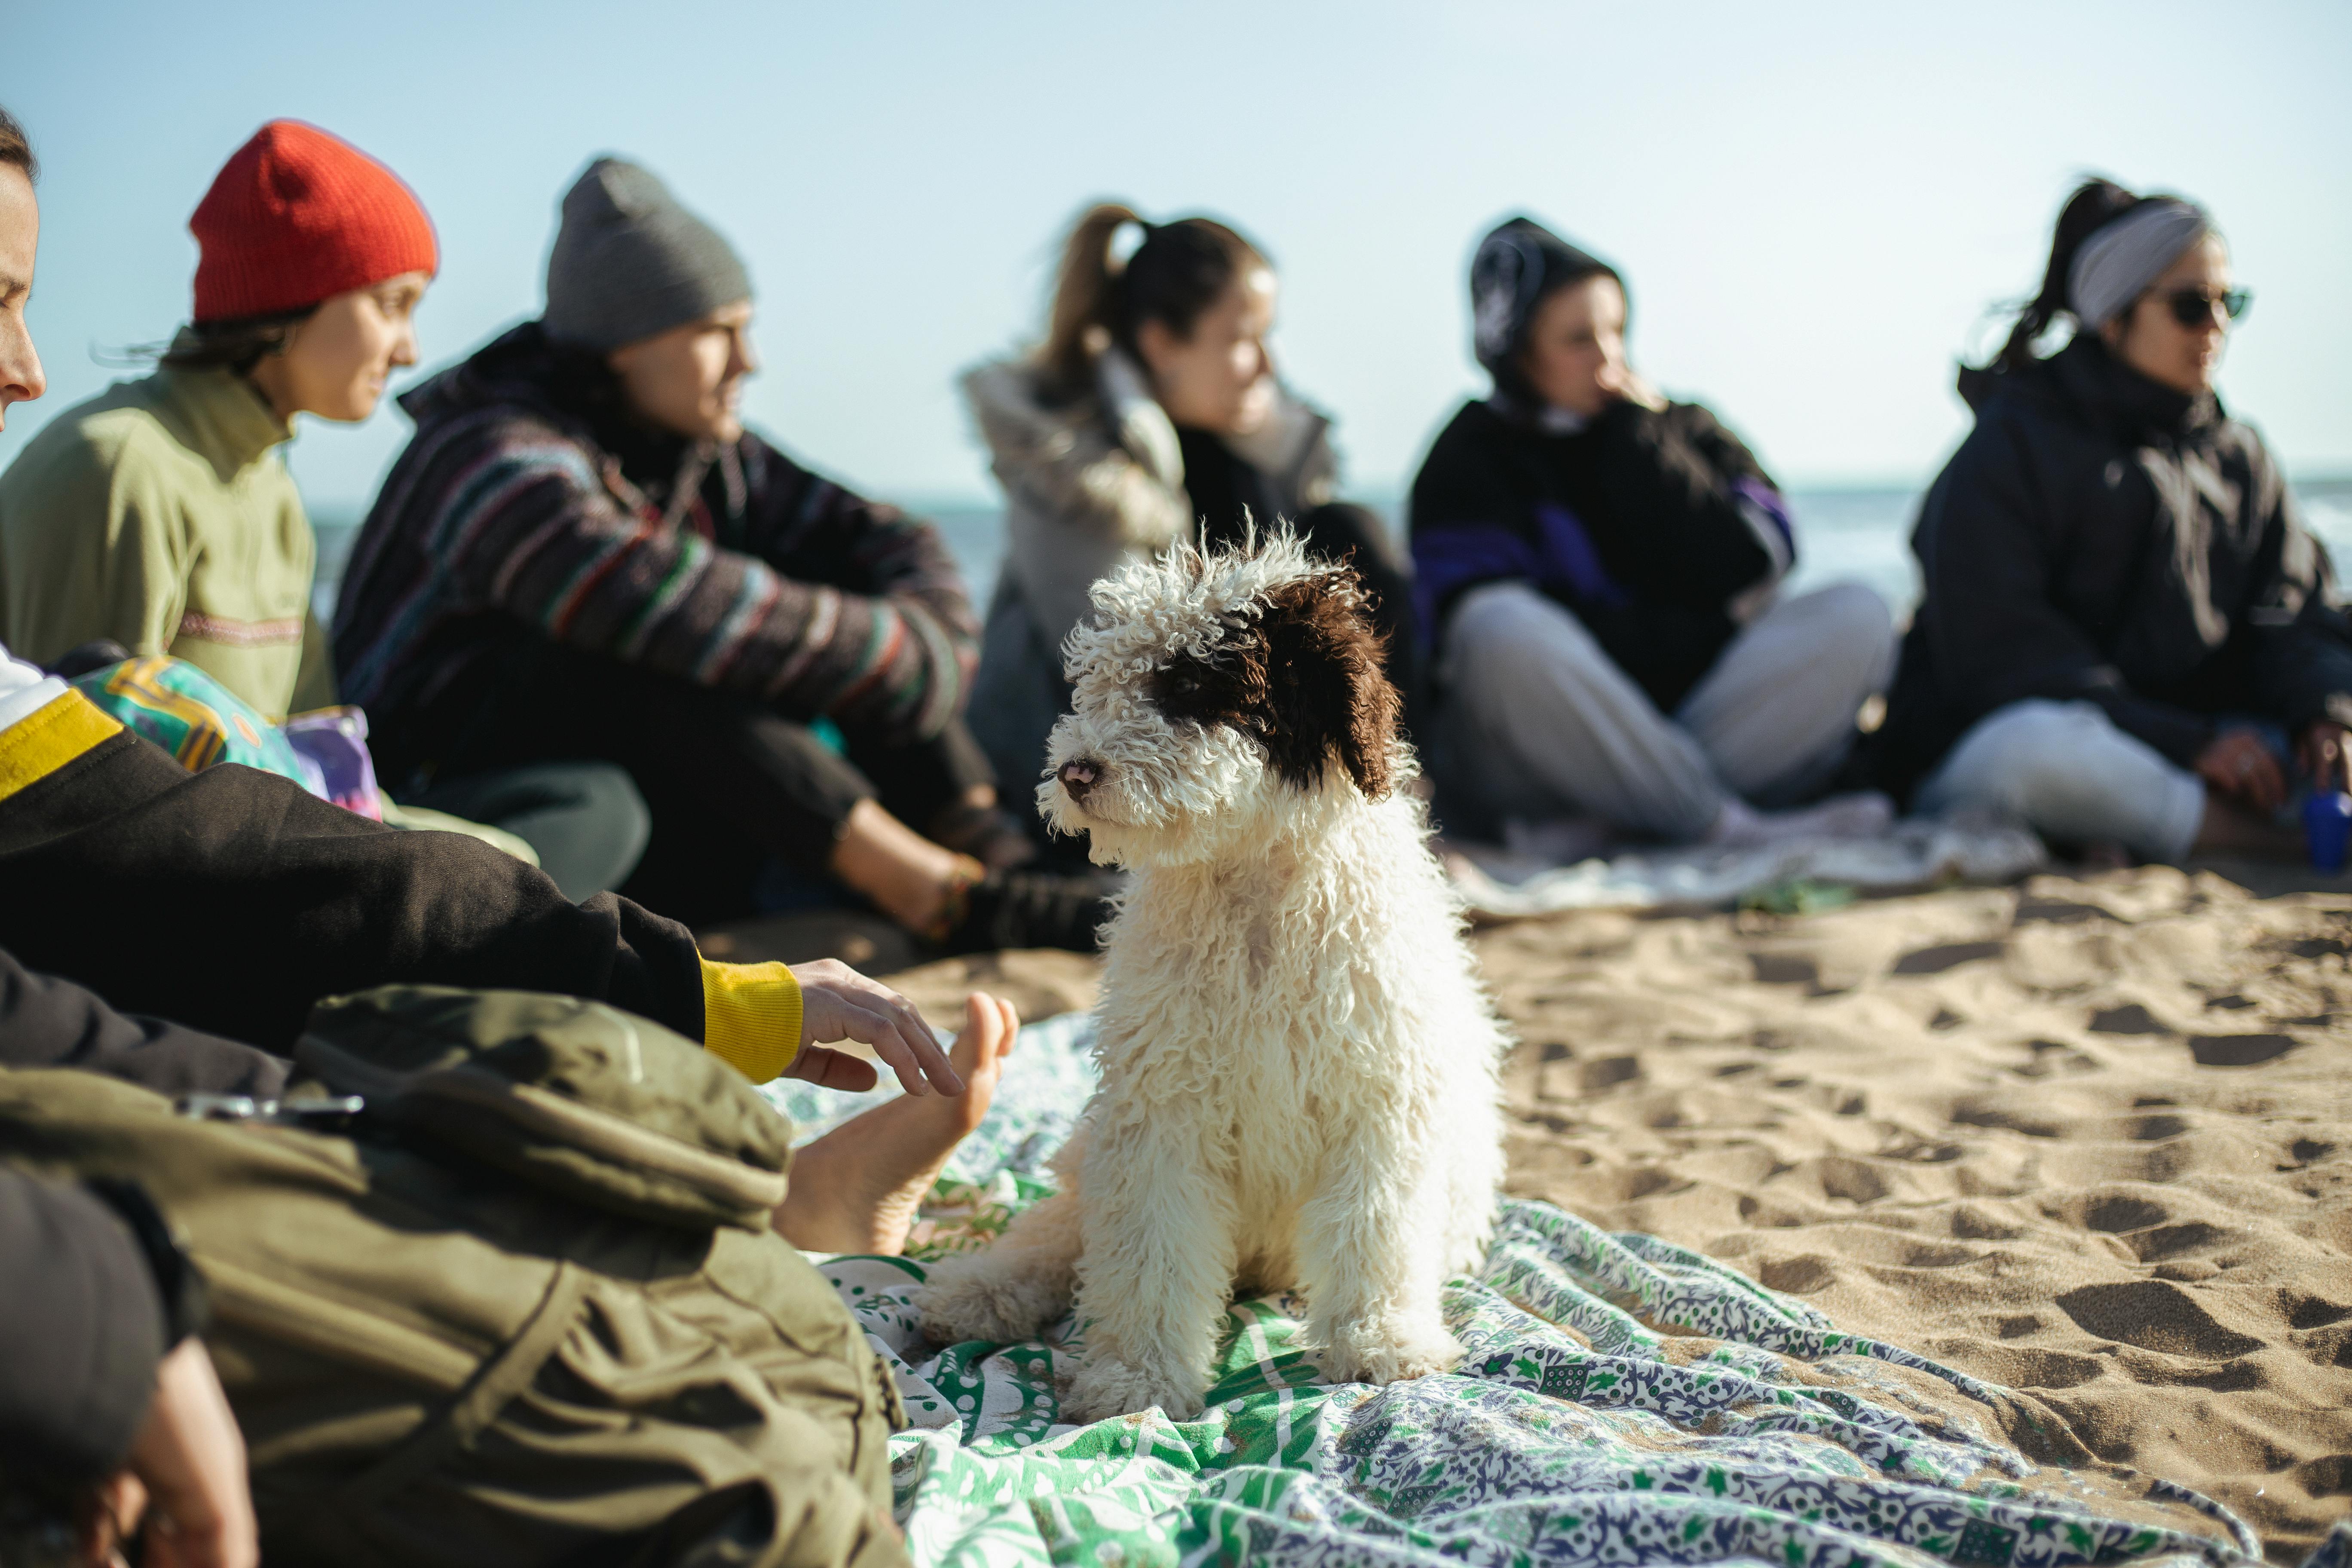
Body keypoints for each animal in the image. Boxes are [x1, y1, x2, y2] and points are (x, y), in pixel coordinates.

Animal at [917, 527, 1505, 1420]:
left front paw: (1380, 1340)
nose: (1075, 772)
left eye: (1192, 687)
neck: (1255, 885)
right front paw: (1137, 1376)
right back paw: (981, 1288)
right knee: (1059, 1230)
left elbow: (1375, 1227)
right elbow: (1149, 1248)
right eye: (1099, 683)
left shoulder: (1378, 1096)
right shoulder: (1161, 1108)